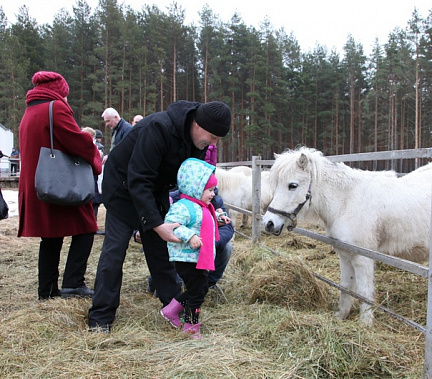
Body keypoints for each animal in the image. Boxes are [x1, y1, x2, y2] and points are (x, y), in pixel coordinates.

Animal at [262, 147, 430, 326]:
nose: (269, 223)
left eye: (292, 185)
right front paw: (342, 315)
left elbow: (364, 291)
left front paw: (365, 323)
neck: (347, 202)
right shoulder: (344, 254)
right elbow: (345, 285)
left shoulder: (362, 258)